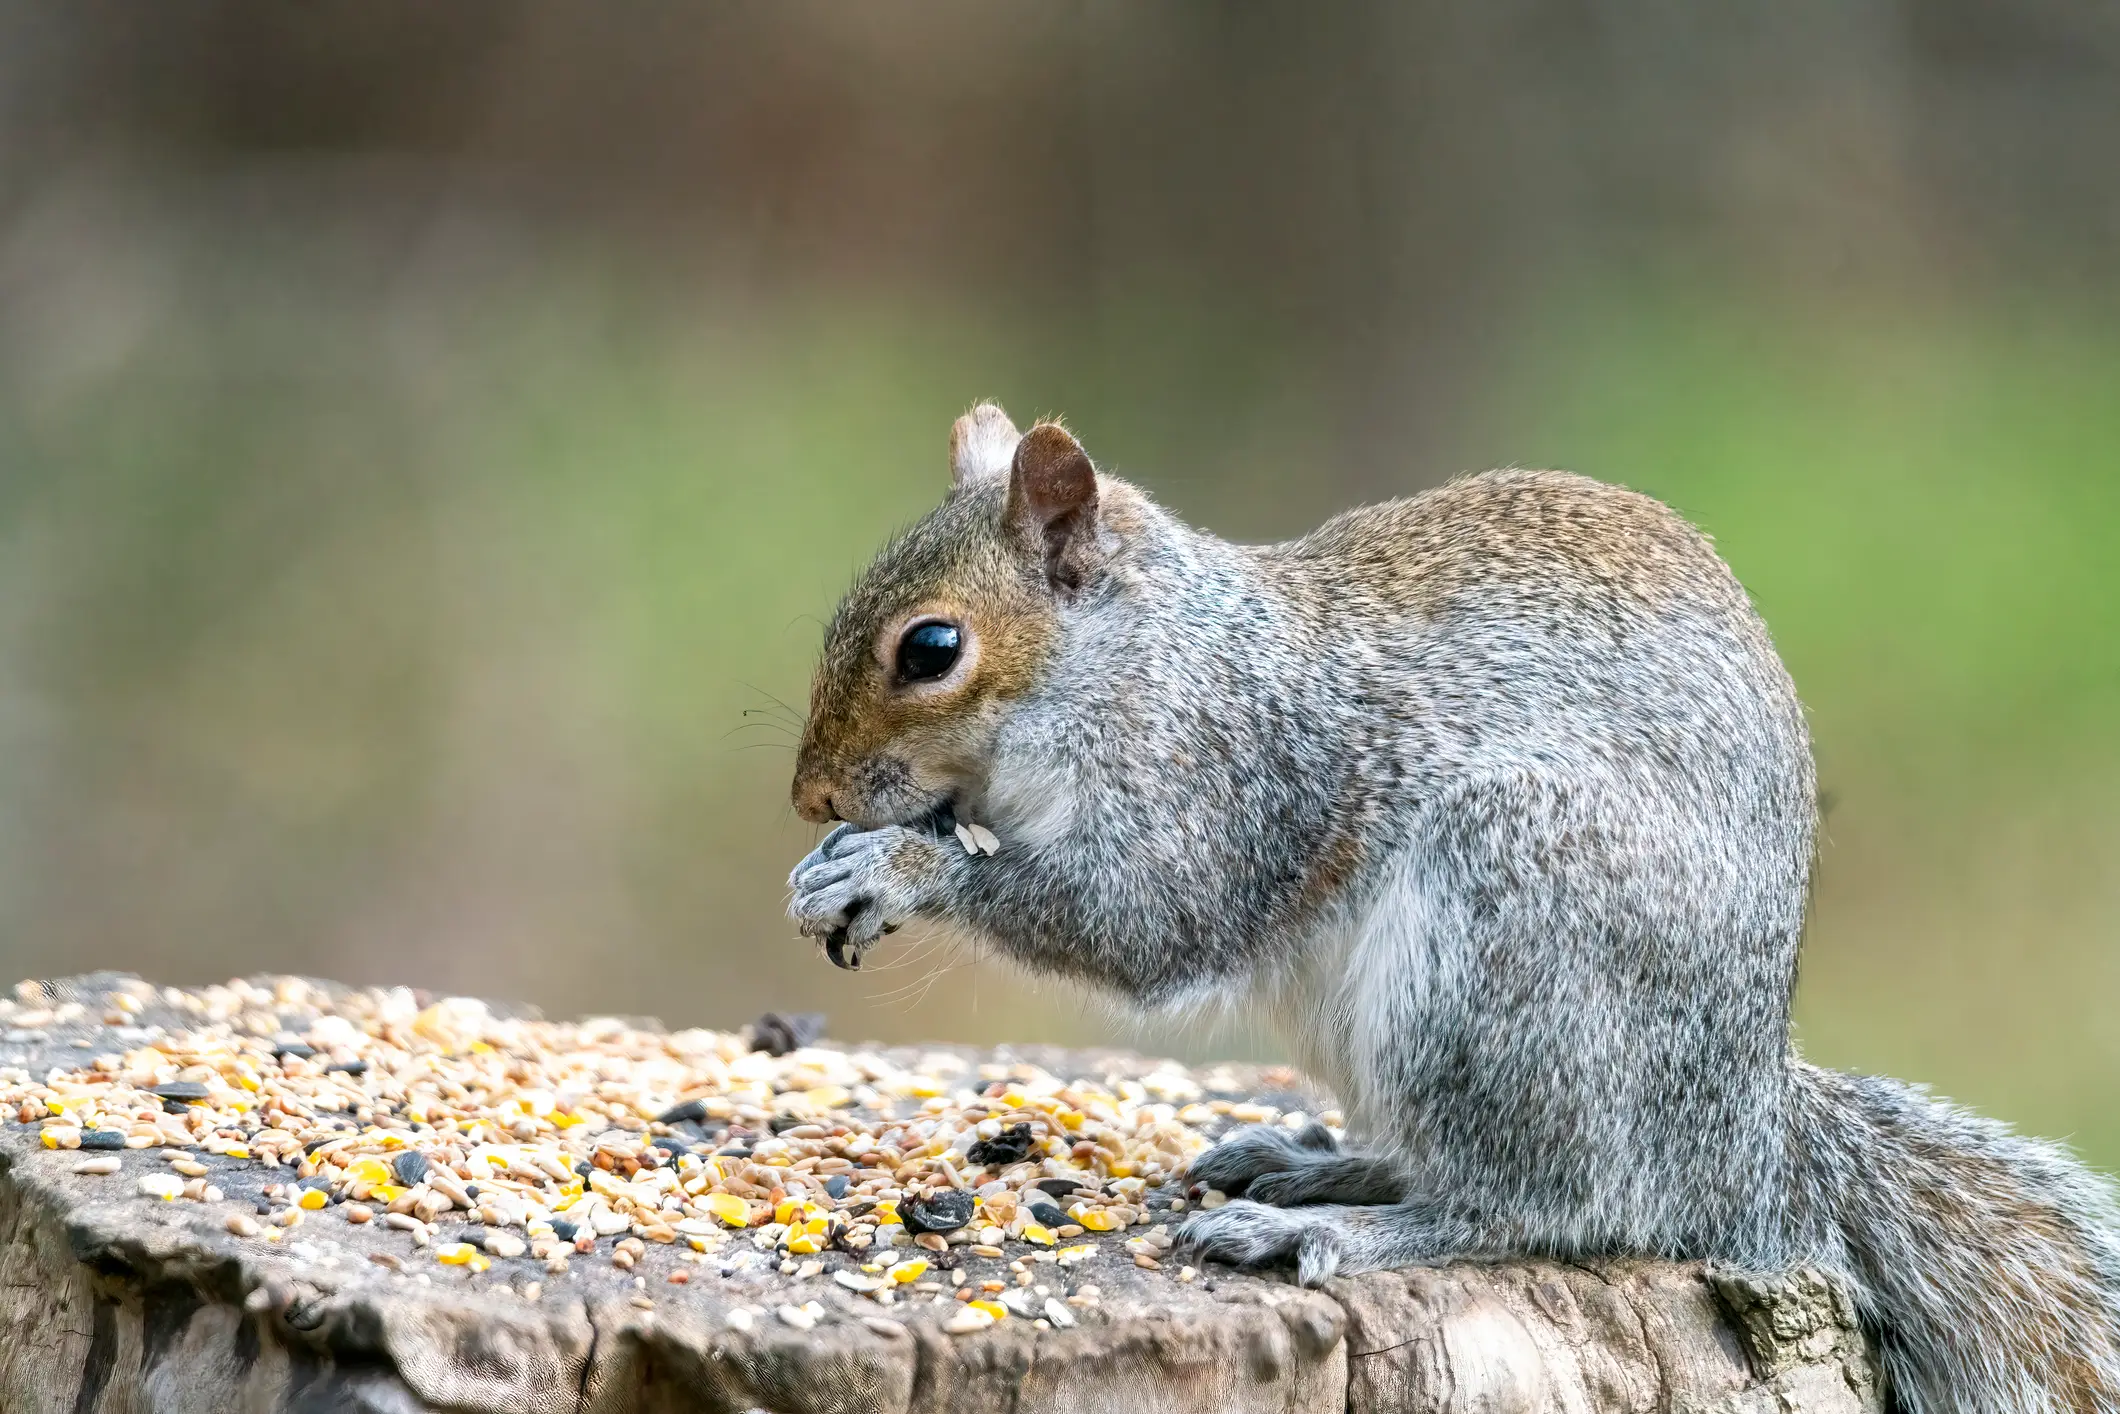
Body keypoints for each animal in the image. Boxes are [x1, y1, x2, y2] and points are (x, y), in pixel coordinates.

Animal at [787, 403, 2120, 1413]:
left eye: (931, 649)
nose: (810, 797)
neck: (1126, 660)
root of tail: (1741, 1147)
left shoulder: (1231, 771)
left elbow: (1146, 915)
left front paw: (893, 868)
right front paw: (839, 863)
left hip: (1509, 931)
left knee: (1542, 1205)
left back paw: (1330, 1232)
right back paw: (1313, 1166)